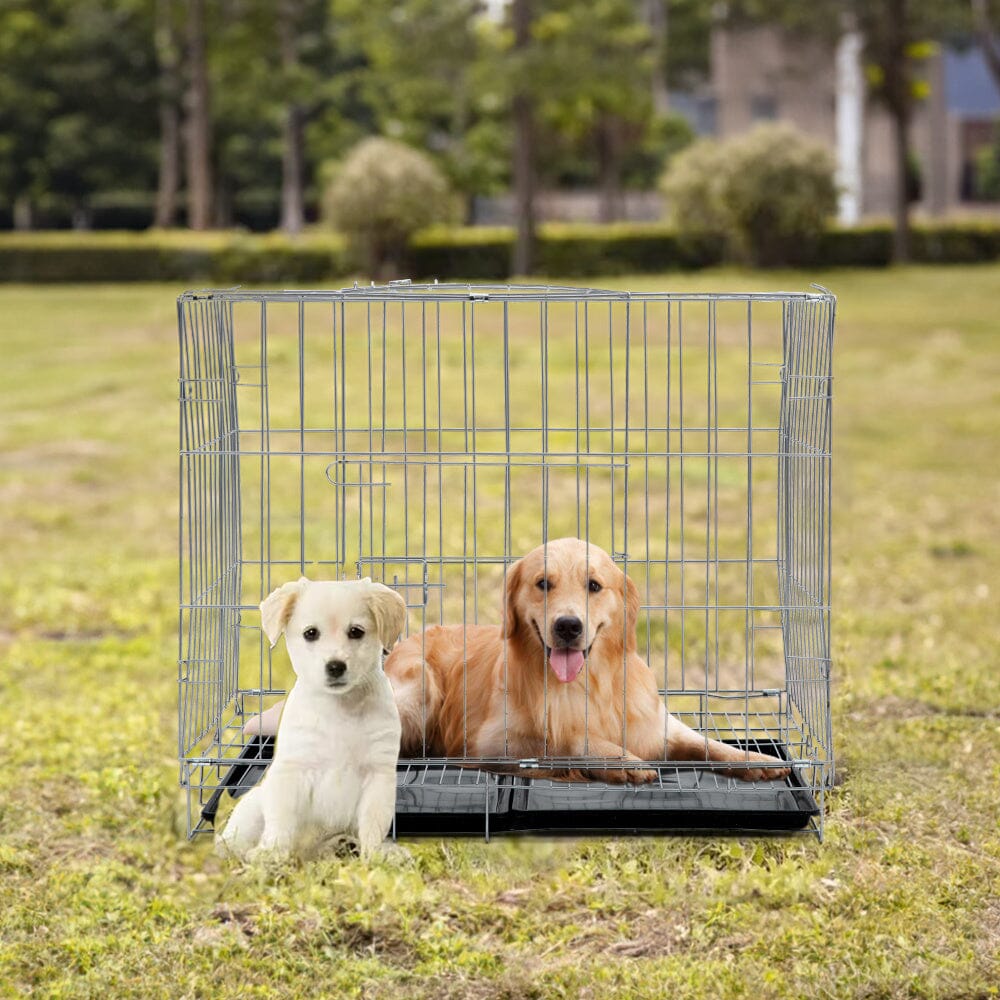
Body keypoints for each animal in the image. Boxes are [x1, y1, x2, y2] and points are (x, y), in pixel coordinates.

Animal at [218, 580, 406, 860]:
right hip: (252, 807)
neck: (340, 708)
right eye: (310, 633)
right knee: (233, 839)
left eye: (356, 631)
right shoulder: (292, 770)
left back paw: (342, 845)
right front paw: (273, 854)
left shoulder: (378, 775)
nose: (335, 666)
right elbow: (282, 822)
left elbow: (373, 824)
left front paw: (376, 856)